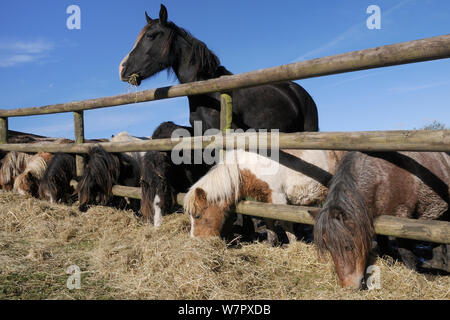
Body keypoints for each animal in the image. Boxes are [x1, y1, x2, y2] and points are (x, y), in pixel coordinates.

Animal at [185, 149, 346, 244]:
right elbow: (268, 221)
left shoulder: (278, 198)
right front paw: (272, 243)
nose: (194, 240)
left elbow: (286, 223)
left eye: (198, 216)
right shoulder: (266, 201)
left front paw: (294, 245)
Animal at [312, 151, 450, 288]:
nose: (348, 286)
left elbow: (405, 251)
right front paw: (389, 260)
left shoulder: (402, 220)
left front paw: (414, 272)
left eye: (347, 246)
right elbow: (383, 243)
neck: (381, 178)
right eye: (329, 249)